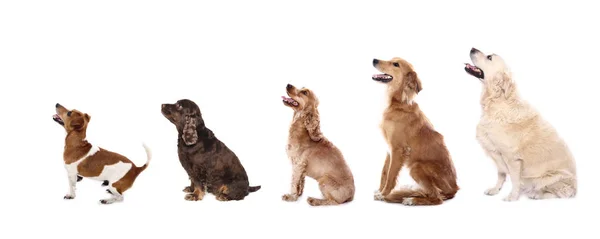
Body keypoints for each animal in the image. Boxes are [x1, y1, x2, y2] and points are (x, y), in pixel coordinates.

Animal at [370, 57, 460, 205]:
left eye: (395, 64)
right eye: (392, 59)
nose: (374, 59)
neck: (398, 103)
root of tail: (455, 188)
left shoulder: (398, 150)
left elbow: (390, 175)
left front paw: (383, 194)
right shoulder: (389, 150)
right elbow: (384, 173)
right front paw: (380, 191)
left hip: (416, 167)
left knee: (437, 198)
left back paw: (411, 200)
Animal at [464, 47, 576, 201]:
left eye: (489, 57)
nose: (472, 48)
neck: (498, 101)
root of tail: (576, 188)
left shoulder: (512, 158)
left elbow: (515, 180)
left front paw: (512, 197)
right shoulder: (496, 153)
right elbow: (501, 174)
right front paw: (495, 189)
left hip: (550, 178)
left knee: (559, 193)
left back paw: (536, 194)